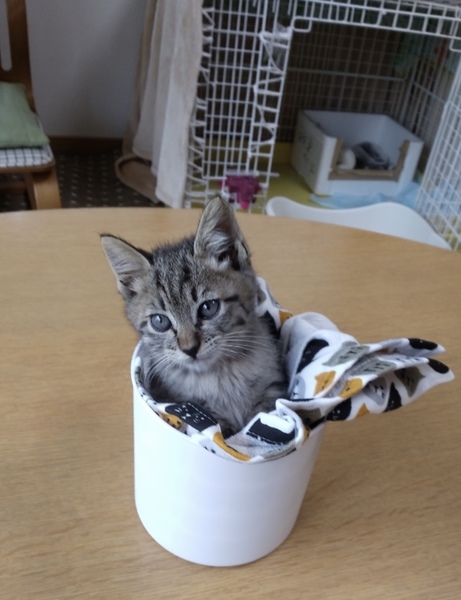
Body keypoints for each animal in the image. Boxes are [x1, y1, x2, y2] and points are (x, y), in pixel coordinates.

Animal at [101, 198, 287, 434]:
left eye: (208, 308)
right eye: (160, 321)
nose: (190, 349)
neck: (220, 375)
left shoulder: (273, 388)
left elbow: (262, 419)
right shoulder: (191, 408)